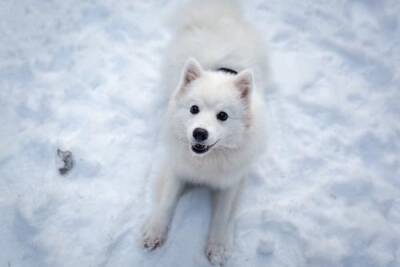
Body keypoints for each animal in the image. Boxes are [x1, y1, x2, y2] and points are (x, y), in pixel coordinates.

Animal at [142, 0, 268, 264]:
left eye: (223, 116)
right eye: (194, 109)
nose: (199, 133)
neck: (206, 162)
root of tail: (217, 14)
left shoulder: (231, 181)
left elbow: (222, 215)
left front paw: (218, 247)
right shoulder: (177, 168)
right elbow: (166, 202)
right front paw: (155, 232)